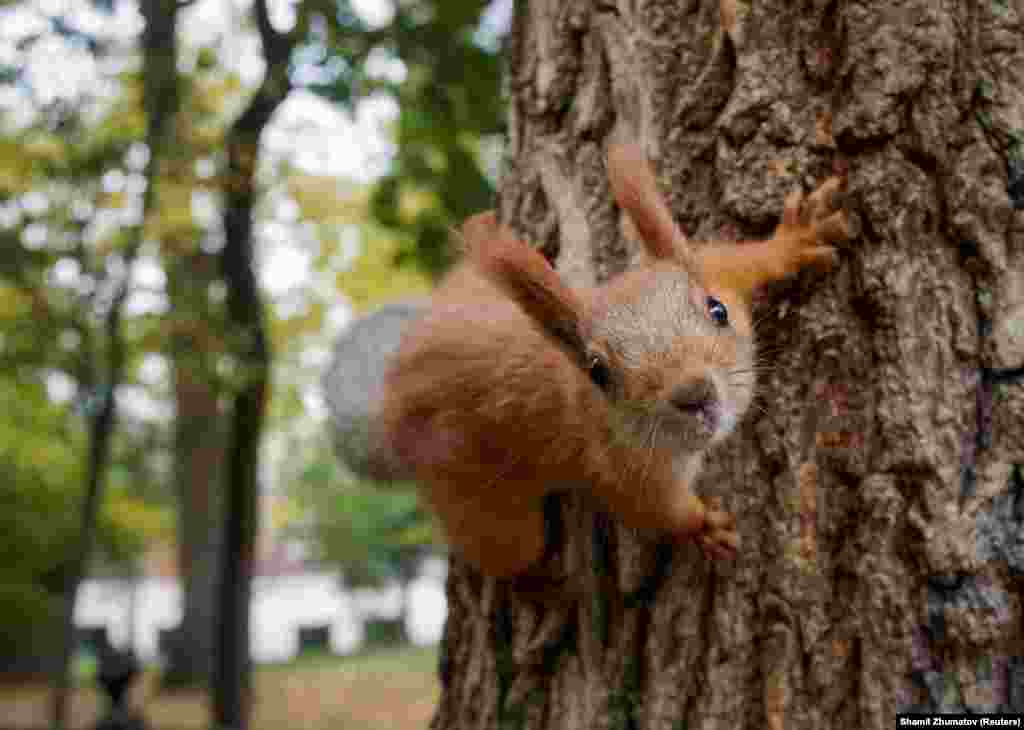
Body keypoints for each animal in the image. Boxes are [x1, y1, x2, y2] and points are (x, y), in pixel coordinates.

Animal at [380, 141, 851, 573]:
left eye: (717, 310)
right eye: (598, 373)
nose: (694, 394)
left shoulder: (716, 271)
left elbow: (742, 259)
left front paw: (795, 240)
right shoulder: (617, 468)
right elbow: (660, 512)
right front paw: (704, 527)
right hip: (480, 505)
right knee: (509, 552)